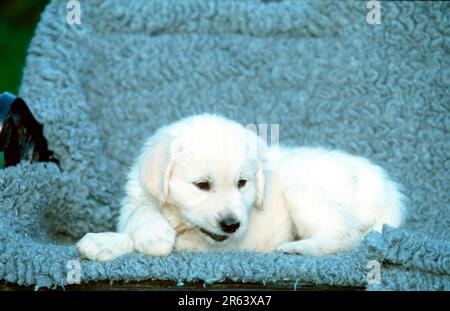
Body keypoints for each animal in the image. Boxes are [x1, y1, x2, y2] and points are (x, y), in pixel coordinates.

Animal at [76, 114, 404, 260]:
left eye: (242, 184)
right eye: (202, 185)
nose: (231, 224)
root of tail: (387, 186)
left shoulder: (234, 241)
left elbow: (181, 242)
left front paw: (105, 243)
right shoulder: (137, 198)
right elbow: (141, 213)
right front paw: (152, 234)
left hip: (303, 185)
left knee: (344, 236)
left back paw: (297, 247)